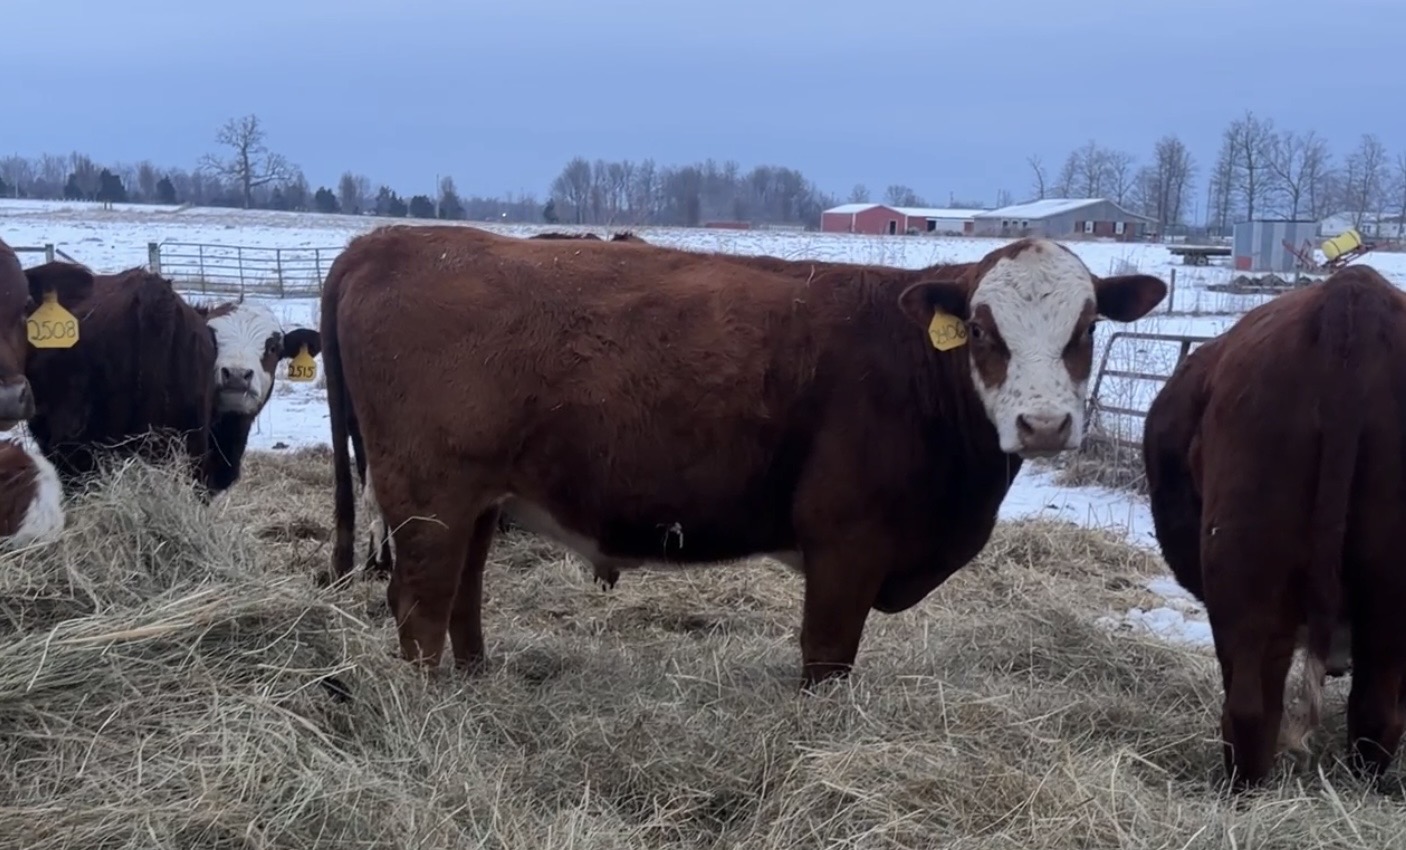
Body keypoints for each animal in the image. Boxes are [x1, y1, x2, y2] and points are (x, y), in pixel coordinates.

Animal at [322, 224, 1167, 685]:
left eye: (1087, 328)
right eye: (985, 333)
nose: (1045, 423)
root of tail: (386, 242)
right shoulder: (846, 541)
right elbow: (826, 658)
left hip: (475, 502)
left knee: (460, 599)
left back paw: (474, 688)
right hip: (429, 497)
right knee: (419, 606)